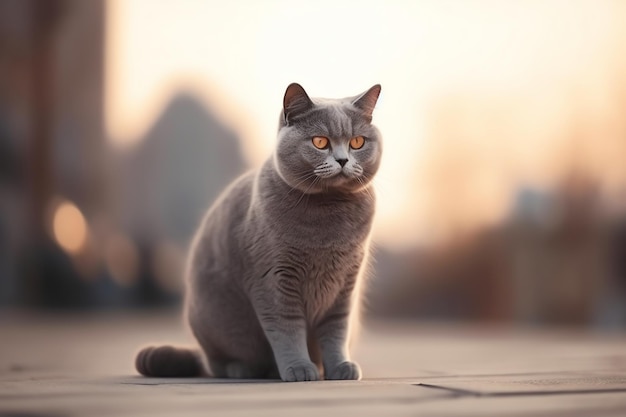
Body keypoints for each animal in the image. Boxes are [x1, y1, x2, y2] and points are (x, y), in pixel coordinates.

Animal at [136, 83, 380, 382]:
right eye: (320, 142)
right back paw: (242, 369)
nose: (343, 160)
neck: (328, 218)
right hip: (215, 324)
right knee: (215, 363)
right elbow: (288, 329)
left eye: (357, 142)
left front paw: (340, 367)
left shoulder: (345, 288)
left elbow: (336, 332)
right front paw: (299, 368)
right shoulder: (274, 281)